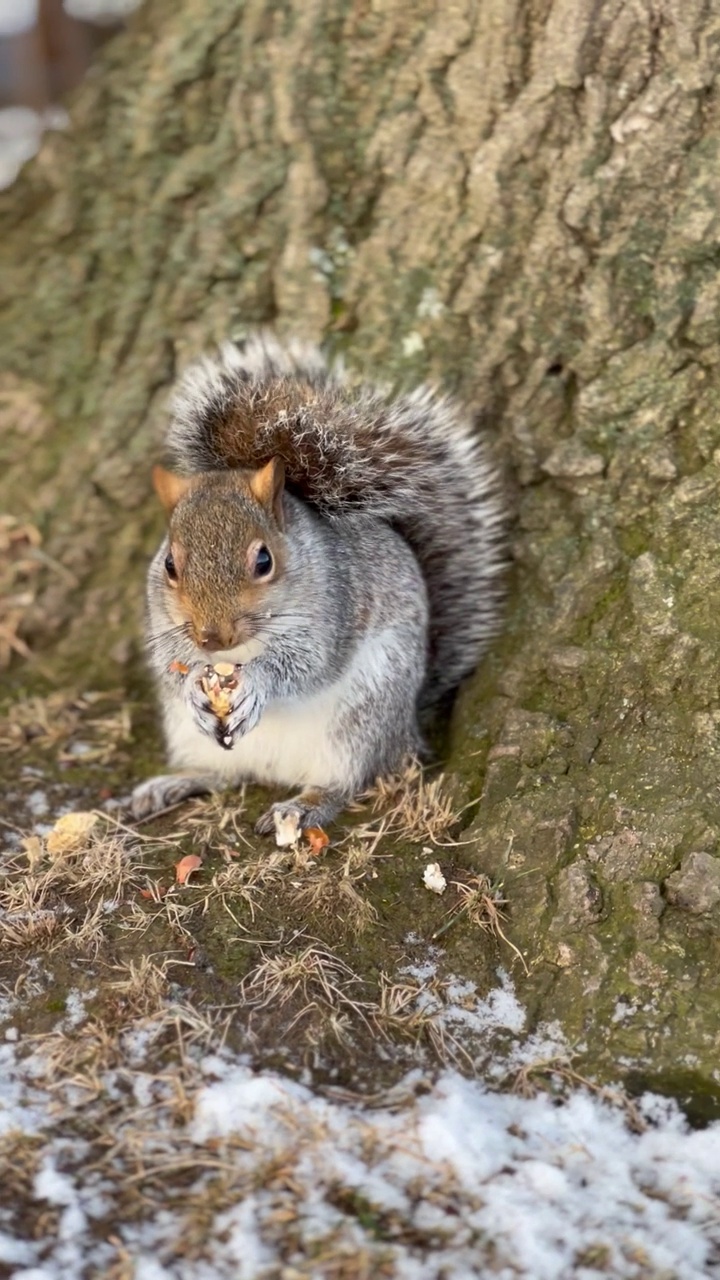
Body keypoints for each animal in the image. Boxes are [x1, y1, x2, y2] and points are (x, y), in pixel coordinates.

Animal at [130, 330, 504, 834]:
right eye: (170, 565)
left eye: (263, 560)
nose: (211, 638)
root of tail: (406, 730)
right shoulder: (164, 623)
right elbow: (170, 662)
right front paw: (191, 683)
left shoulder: (334, 611)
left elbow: (307, 665)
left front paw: (259, 680)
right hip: (191, 735)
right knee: (224, 774)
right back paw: (175, 782)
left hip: (360, 721)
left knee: (345, 781)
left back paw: (303, 806)